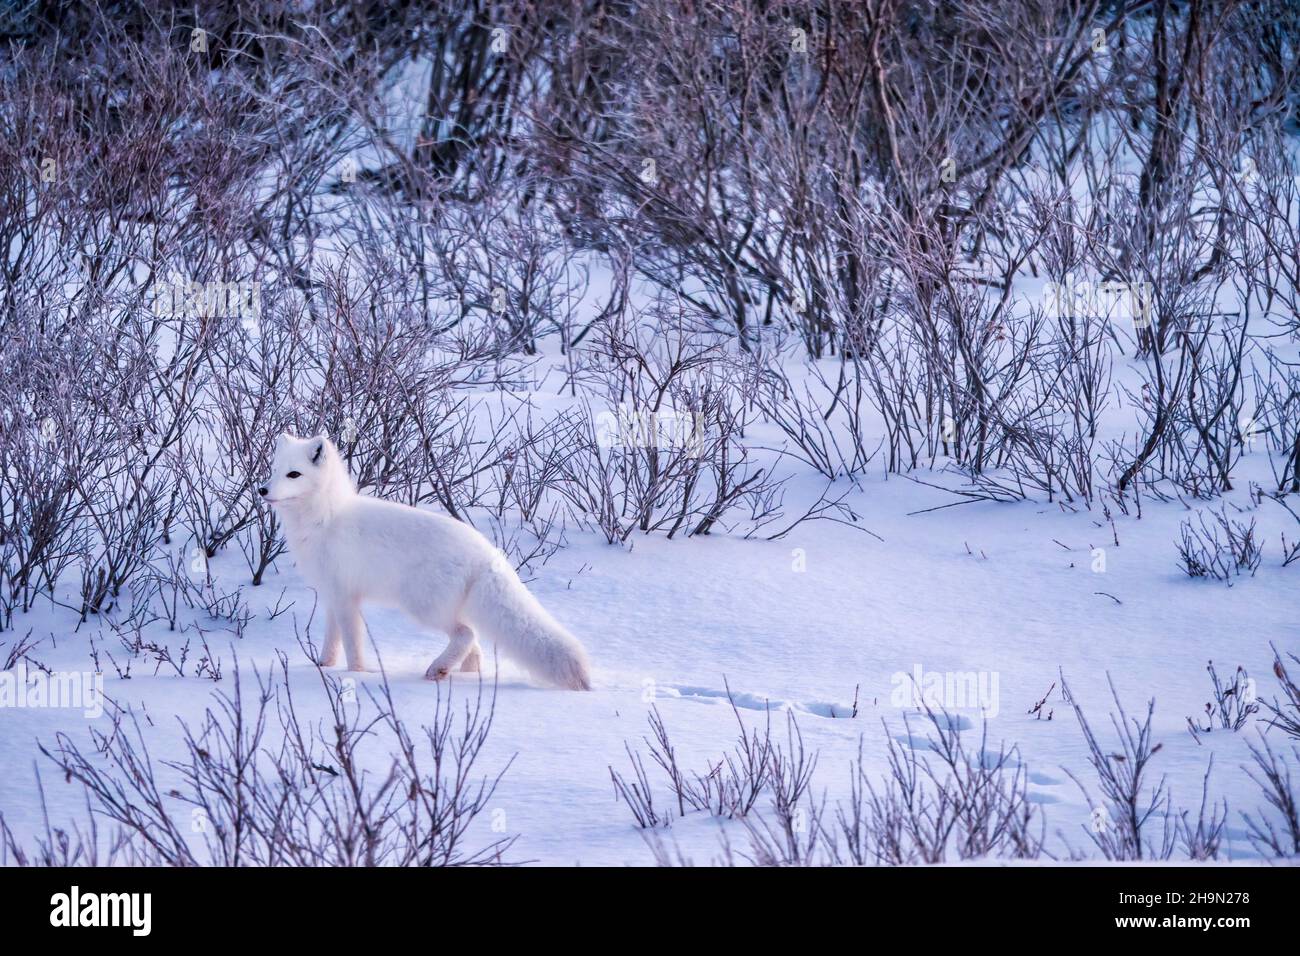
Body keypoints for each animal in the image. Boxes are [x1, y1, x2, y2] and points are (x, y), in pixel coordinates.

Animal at [260, 434, 595, 686]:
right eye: (274, 470)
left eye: (294, 474)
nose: (262, 489)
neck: (326, 517)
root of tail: (486, 551)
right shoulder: (333, 596)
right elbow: (332, 640)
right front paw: (323, 666)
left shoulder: (345, 597)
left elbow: (353, 644)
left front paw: (355, 674)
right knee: (474, 645)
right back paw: (463, 674)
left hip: (422, 607)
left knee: (467, 634)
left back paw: (437, 669)